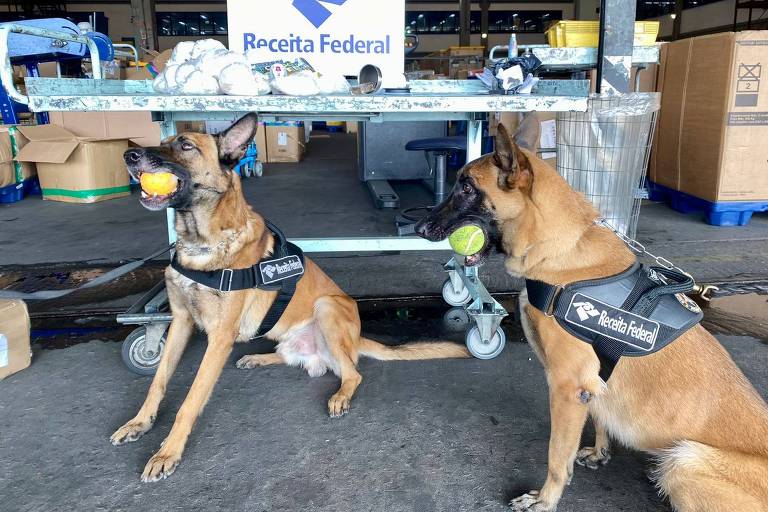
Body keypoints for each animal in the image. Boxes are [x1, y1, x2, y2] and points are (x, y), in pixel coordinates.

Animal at [109, 114, 468, 482]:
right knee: (295, 358)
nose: (129, 156)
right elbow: (158, 382)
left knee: (352, 373)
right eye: (165, 141)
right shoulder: (181, 321)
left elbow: (191, 399)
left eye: (185, 145)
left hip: (327, 307)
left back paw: (340, 394)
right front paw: (139, 422)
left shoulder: (219, 338)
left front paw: (168, 452)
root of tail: (355, 341)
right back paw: (258, 358)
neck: (203, 243)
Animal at [416, 118, 768, 510]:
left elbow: (557, 456)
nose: (418, 228)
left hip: (683, 459)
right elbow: (599, 416)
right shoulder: (591, 384)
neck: (560, 247)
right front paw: (601, 452)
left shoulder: (567, 388)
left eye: (465, 187)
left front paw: (545, 500)